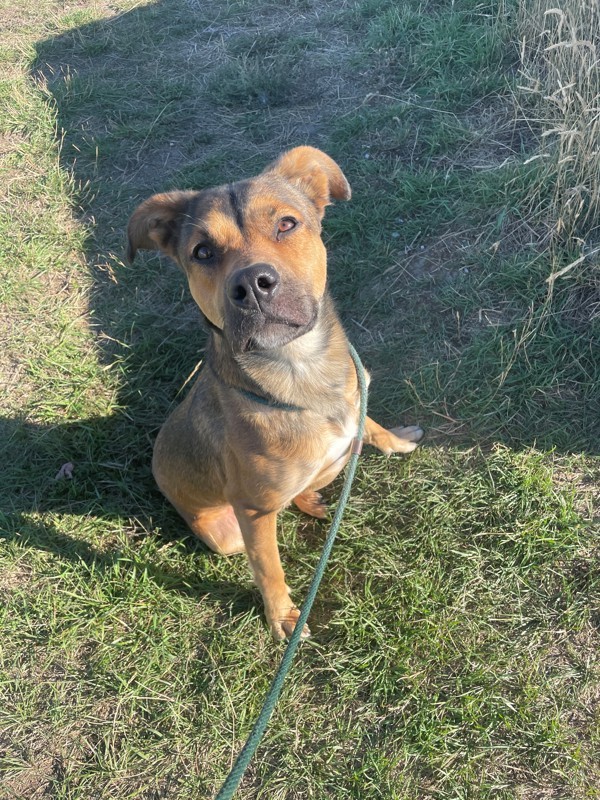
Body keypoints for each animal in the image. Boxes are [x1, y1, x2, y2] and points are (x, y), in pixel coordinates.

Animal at [126, 147, 422, 640]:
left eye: (286, 224)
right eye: (202, 252)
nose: (251, 286)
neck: (300, 370)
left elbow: (371, 422)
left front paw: (396, 439)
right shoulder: (251, 512)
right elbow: (269, 569)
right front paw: (282, 615)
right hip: (226, 534)